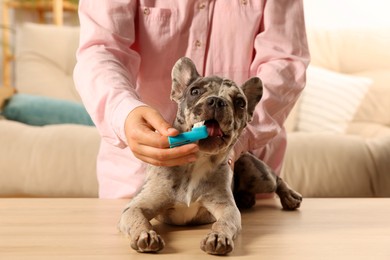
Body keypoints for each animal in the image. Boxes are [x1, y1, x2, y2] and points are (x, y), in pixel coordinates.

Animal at [118, 57, 302, 254]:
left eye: (240, 102)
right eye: (194, 91)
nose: (216, 101)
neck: (196, 161)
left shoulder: (227, 209)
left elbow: (223, 223)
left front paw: (218, 237)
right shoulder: (136, 206)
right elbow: (138, 219)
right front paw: (145, 234)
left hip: (257, 174)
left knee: (276, 180)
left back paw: (289, 196)